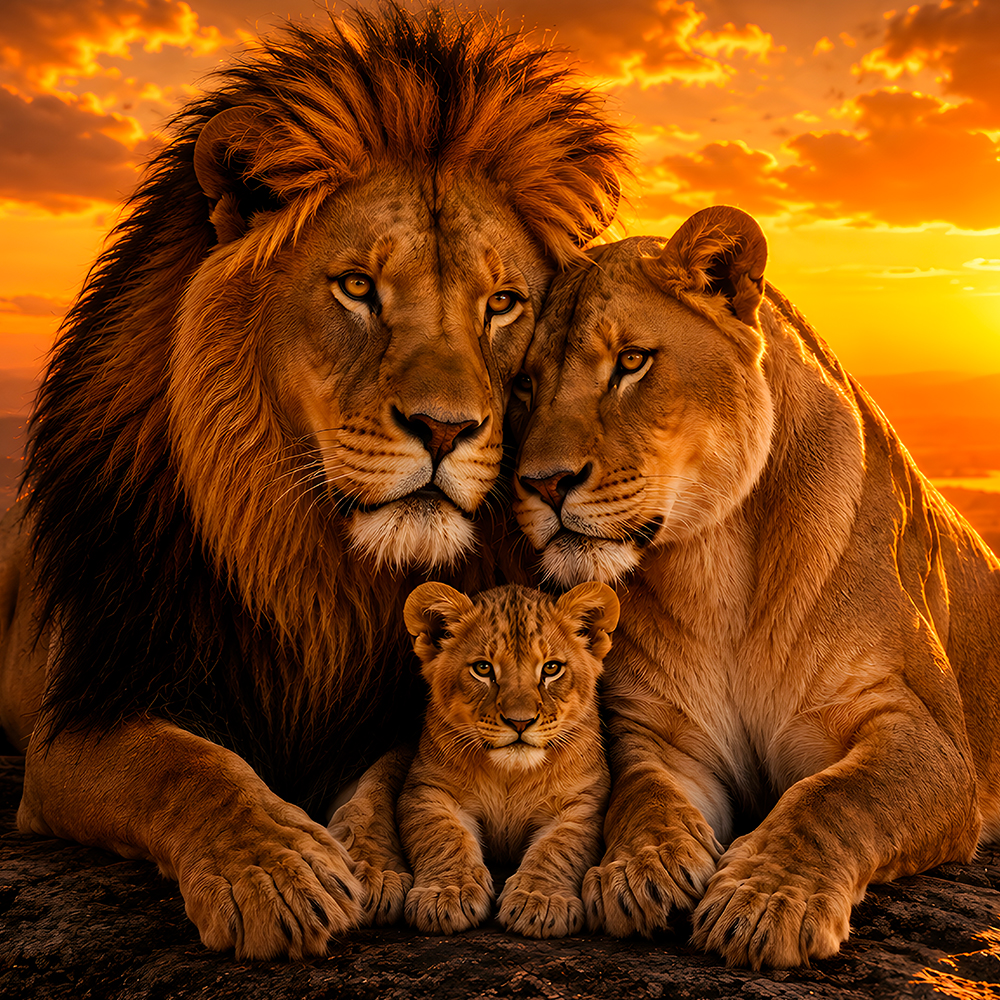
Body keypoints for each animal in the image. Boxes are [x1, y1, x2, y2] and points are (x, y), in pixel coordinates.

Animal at [397, 580, 618, 937]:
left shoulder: (584, 802)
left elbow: (559, 847)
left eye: (551, 668)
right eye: (483, 668)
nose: (520, 722)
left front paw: (539, 901)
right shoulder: (427, 790)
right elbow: (444, 835)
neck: (510, 777)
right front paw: (448, 894)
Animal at [511, 205, 1000, 968]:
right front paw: (639, 871)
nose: (543, 483)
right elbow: (641, 792)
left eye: (631, 362)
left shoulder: (930, 738)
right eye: (524, 385)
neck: (721, 568)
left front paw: (764, 902)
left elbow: (833, 798)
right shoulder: (661, 729)